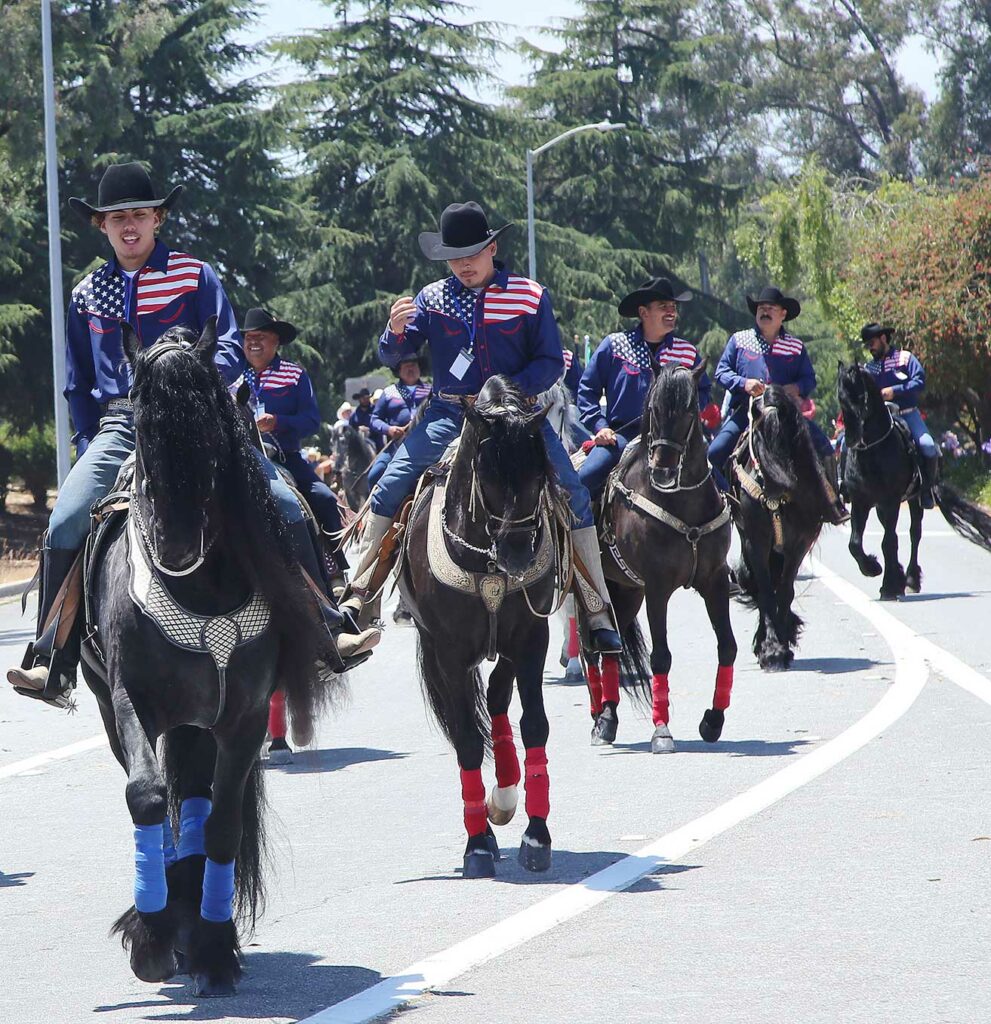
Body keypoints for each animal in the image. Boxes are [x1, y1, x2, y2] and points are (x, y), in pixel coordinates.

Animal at [82, 325, 335, 991]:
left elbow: (221, 823)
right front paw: (151, 936)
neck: (198, 586)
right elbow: (147, 794)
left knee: (194, 799)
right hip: (123, 709)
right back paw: (167, 915)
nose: (174, 545)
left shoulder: (244, 716)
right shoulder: (131, 700)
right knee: (165, 796)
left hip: (199, 720)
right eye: (142, 421)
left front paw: (215, 945)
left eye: (207, 429)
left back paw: (191, 915)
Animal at [395, 380, 565, 876]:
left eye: (539, 476)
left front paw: (536, 834)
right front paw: (477, 846)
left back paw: (505, 793)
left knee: (496, 698)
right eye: (486, 477)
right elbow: (468, 740)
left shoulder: (530, 639)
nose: (518, 556)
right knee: (467, 721)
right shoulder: (449, 652)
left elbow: (533, 725)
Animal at [597, 362, 737, 753]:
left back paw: (607, 717)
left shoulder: (714, 580)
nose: (662, 471)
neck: (681, 502)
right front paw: (661, 730)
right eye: (654, 410)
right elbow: (660, 655)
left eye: (690, 411)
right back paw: (602, 718)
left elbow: (728, 647)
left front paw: (713, 720)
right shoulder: (658, 588)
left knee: (611, 649)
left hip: (627, 591)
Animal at [733, 387, 831, 667]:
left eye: (787, 441)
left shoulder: (799, 545)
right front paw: (771, 648)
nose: (773, 494)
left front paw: (783, 641)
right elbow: (765, 591)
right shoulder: (755, 542)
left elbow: (785, 591)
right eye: (758, 440)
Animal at [839, 362, 925, 598]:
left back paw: (911, 579)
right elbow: (854, 544)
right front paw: (873, 568)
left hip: (914, 500)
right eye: (841, 398)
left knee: (914, 534)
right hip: (879, 508)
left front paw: (888, 585)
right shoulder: (861, 502)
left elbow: (888, 542)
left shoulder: (891, 500)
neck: (872, 451)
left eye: (861, 396)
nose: (852, 438)